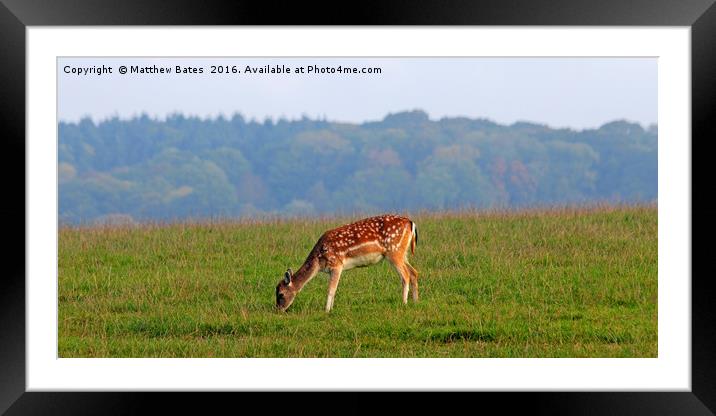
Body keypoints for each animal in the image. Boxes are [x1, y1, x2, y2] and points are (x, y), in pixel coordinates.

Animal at [274, 214, 420, 312]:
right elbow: (335, 289)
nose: (278, 309)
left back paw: (404, 302)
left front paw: (327, 310)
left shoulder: (336, 264)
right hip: (403, 253)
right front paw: (331, 308)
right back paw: (415, 301)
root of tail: (411, 223)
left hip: (394, 252)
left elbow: (331, 289)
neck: (319, 261)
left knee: (405, 275)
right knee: (414, 272)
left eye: (281, 294)